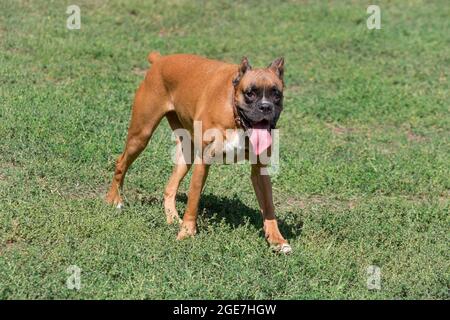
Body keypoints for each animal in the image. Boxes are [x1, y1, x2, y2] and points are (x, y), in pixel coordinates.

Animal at [106, 52, 292, 252]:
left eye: (276, 94)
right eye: (250, 93)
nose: (265, 107)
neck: (235, 117)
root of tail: (160, 59)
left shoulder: (260, 171)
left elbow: (269, 207)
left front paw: (277, 240)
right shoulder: (203, 162)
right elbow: (193, 201)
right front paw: (187, 233)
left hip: (186, 152)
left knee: (170, 187)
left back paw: (172, 218)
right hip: (141, 135)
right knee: (121, 163)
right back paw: (114, 200)